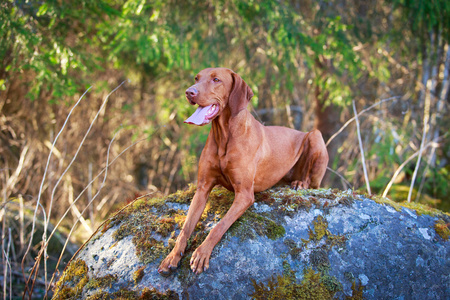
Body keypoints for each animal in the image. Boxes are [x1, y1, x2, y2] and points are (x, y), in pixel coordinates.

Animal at [157, 67, 326, 274]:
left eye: (216, 79)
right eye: (196, 78)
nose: (189, 92)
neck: (224, 135)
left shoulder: (245, 194)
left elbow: (219, 226)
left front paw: (202, 252)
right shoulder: (202, 188)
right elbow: (186, 228)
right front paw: (172, 256)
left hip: (315, 136)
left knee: (312, 181)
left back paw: (300, 182)